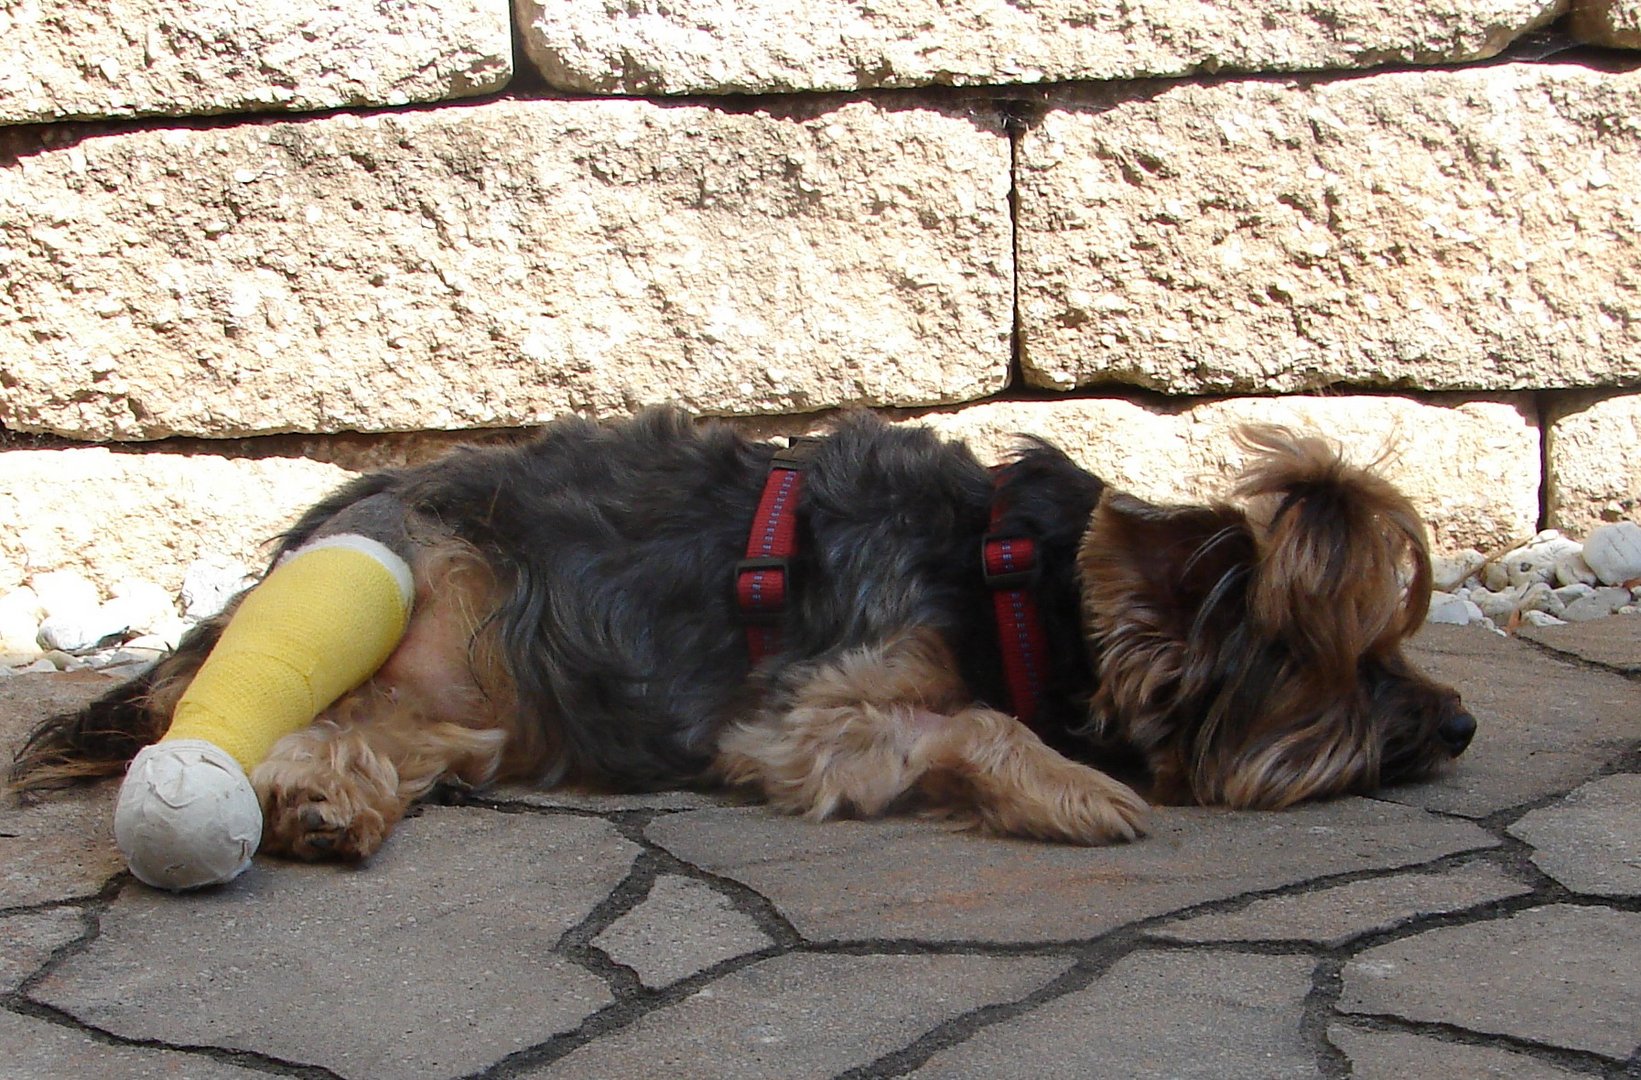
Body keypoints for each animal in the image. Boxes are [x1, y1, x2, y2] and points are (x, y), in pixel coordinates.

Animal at [6, 405, 1483, 860]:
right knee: (285, 717)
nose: (1463, 719)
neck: (1010, 575)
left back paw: (334, 805)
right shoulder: (810, 715)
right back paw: (307, 800)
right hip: (410, 591)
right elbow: (976, 720)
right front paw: (1072, 787)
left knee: (367, 734)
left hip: (470, 705)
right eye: (1346, 662)